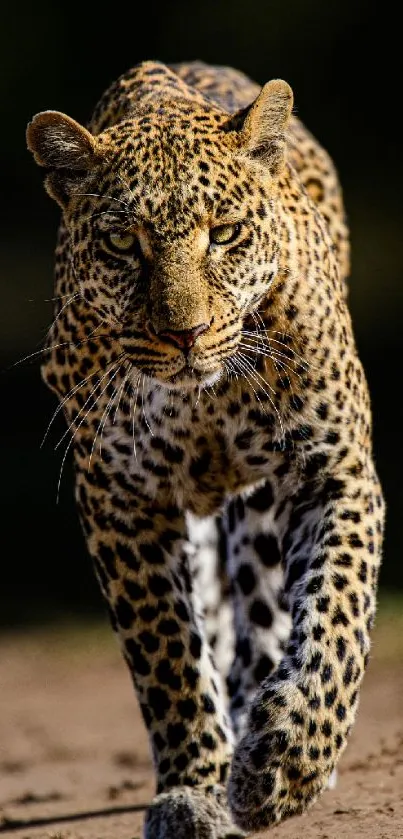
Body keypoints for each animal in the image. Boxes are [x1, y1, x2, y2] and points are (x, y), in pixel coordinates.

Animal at [26, 60, 386, 839]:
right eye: (122, 244)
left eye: (223, 234)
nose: (184, 335)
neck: (205, 398)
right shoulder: (120, 497)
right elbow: (168, 654)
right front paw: (194, 789)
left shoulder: (333, 469)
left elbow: (336, 617)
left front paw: (287, 762)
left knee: (266, 610)